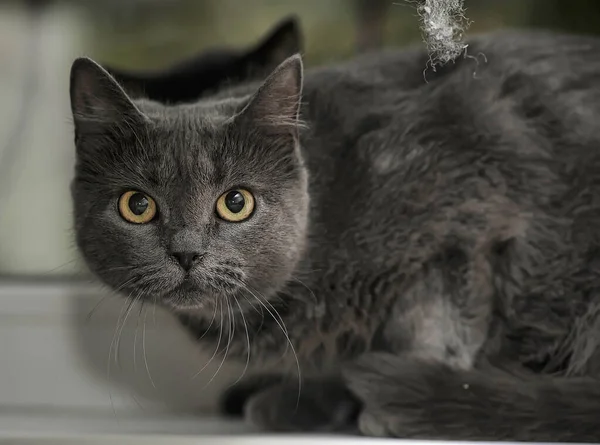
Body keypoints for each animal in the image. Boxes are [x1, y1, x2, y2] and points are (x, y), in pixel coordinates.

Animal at [69, 30, 600, 440]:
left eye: (236, 202)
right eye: (137, 206)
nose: (186, 252)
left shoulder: (472, 201)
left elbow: (434, 315)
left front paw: (394, 399)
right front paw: (310, 400)